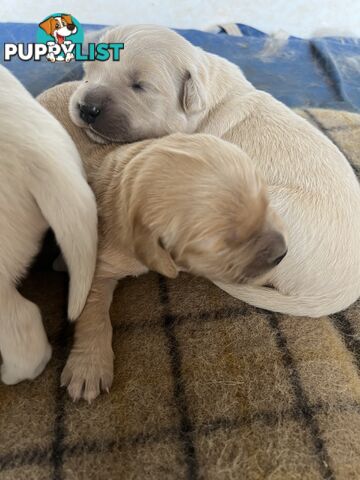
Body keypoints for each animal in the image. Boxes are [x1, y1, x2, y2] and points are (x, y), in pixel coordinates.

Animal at [38, 82, 288, 402]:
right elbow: (93, 313)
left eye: (266, 201)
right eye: (221, 246)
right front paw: (88, 367)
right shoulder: (100, 264)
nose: (283, 253)